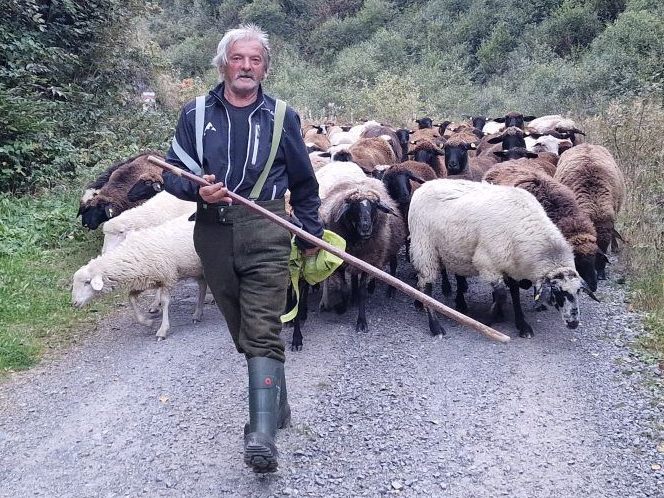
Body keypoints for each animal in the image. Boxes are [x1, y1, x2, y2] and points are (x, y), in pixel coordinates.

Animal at [72, 214, 206, 340]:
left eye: (87, 282)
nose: (74, 303)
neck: (133, 255)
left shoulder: (167, 277)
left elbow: (164, 302)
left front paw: (163, 330)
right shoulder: (146, 280)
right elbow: (131, 298)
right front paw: (147, 322)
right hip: (197, 269)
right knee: (202, 286)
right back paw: (198, 313)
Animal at [319, 178, 406, 332]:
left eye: (374, 206)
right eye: (354, 207)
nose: (366, 227)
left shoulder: (369, 262)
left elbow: (362, 292)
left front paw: (361, 321)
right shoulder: (340, 263)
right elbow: (344, 288)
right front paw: (342, 307)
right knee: (353, 277)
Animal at [408, 179, 599, 338]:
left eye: (578, 291)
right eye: (558, 292)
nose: (573, 323)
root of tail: (424, 186)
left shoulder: (512, 265)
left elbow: (514, 293)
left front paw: (522, 325)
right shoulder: (487, 263)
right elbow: (501, 294)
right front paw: (488, 321)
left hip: (452, 250)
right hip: (424, 248)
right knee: (426, 285)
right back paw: (435, 326)